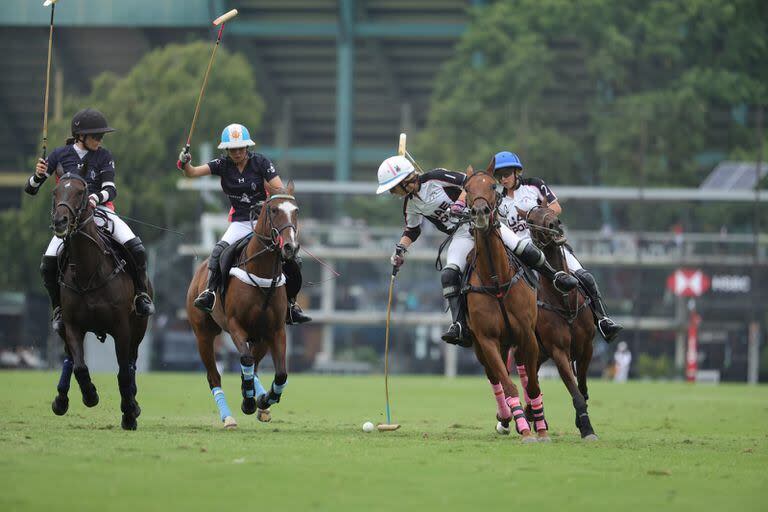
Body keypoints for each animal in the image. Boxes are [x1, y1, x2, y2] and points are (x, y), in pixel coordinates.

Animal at [49, 174, 150, 430]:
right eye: (55, 192)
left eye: (81, 192)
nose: (60, 221)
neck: (88, 272)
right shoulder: (73, 326)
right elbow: (79, 366)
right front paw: (90, 395)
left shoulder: (122, 328)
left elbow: (124, 372)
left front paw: (129, 413)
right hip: (64, 327)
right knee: (68, 357)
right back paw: (61, 401)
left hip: (138, 328)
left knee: (131, 364)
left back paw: (133, 404)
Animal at [186, 183, 300, 428]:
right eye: (274, 210)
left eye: (296, 211)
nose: (290, 247)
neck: (262, 271)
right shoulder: (235, 324)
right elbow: (245, 360)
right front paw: (248, 402)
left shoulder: (275, 330)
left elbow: (281, 374)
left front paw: (264, 399)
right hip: (203, 334)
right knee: (215, 376)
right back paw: (228, 417)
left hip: (261, 337)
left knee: (254, 367)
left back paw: (261, 404)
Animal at [462, 166, 544, 442]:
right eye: (467, 188)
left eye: (491, 186)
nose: (480, 213)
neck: (496, 279)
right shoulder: (486, 339)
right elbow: (508, 385)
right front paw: (524, 428)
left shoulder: (528, 335)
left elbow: (532, 385)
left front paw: (539, 427)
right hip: (483, 344)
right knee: (495, 377)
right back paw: (507, 417)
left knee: (523, 372)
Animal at [516, 205, 600, 440]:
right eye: (531, 219)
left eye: (546, 206)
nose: (555, 225)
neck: (564, 299)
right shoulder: (558, 350)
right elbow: (575, 392)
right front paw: (587, 429)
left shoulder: (586, 347)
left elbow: (582, 388)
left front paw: (581, 422)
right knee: (529, 381)